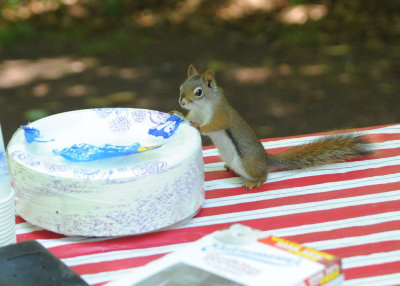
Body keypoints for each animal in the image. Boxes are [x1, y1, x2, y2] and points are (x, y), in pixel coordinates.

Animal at [175, 65, 372, 190]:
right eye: (181, 86)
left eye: (198, 92)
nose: (182, 102)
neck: (202, 107)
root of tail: (266, 160)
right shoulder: (194, 112)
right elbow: (188, 117)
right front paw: (178, 114)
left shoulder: (220, 113)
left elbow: (215, 124)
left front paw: (198, 126)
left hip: (249, 163)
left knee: (265, 175)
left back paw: (254, 182)